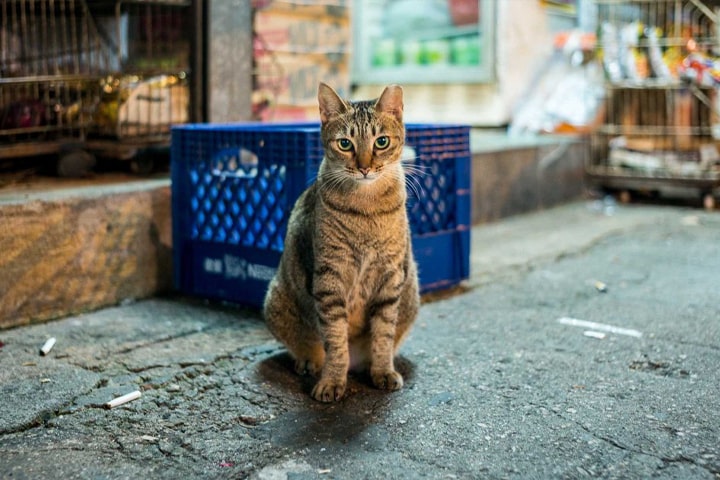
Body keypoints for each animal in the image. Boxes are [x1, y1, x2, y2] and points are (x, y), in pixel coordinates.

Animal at [264, 81, 422, 402]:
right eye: (345, 144)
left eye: (381, 142)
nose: (364, 167)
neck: (366, 208)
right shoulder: (330, 278)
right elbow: (335, 339)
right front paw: (333, 380)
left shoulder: (390, 278)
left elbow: (383, 334)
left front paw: (382, 370)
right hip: (276, 301)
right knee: (309, 345)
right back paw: (309, 362)